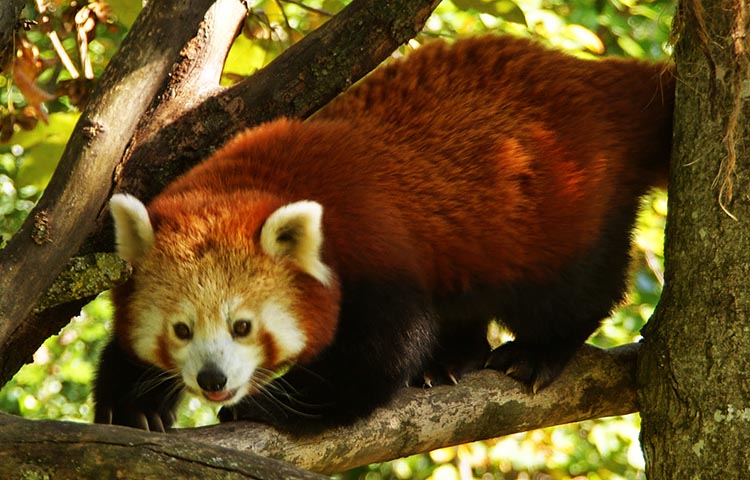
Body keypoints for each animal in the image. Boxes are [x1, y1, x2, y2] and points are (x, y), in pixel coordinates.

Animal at [94, 33, 676, 432]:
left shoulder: (374, 250)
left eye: (243, 327)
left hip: (564, 206)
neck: (261, 178)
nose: (212, 380)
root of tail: (590, 77)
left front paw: (268, 405)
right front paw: (134, 404)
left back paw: (536, 352)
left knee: (573, 292)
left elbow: (377, 358)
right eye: (180, 330)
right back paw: (451, 360)